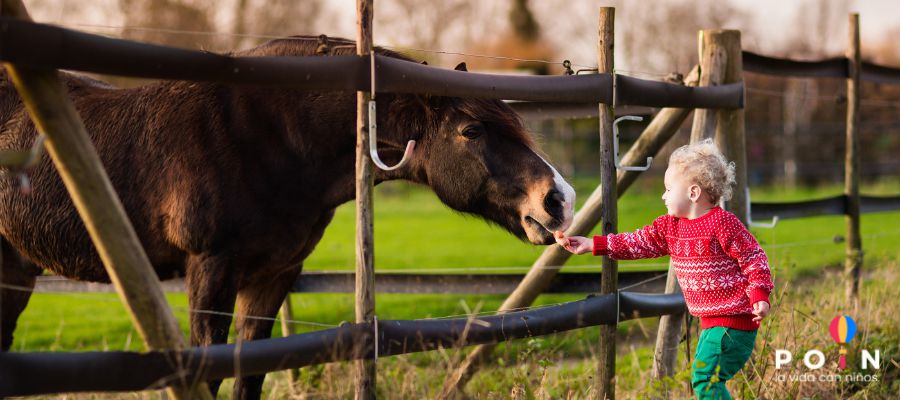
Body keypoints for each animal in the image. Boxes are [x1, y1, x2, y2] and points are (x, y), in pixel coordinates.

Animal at [0, 36, 576, 398]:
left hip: (16, 271)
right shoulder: (210, 269)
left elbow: (250, 372)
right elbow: (210, 371)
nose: (558, 199)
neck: (267, 135)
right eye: (471, 131)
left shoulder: (274, 275)